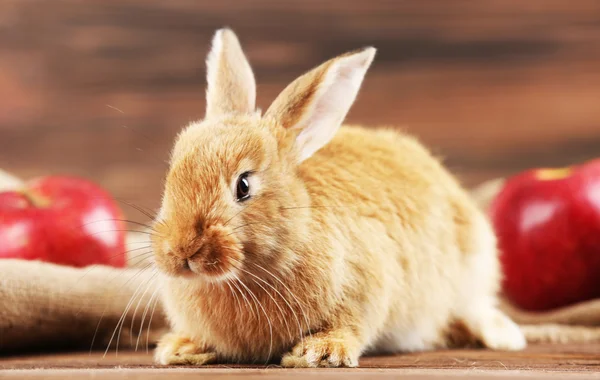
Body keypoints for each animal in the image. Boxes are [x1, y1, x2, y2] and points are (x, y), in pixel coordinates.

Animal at [149, 28, 524, 366]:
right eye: (172, 171)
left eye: (243, 186)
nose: (181, 250)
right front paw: (180, 348)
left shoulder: (367, 287)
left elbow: (350, 325)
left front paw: (319, 353)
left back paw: (504, 335)